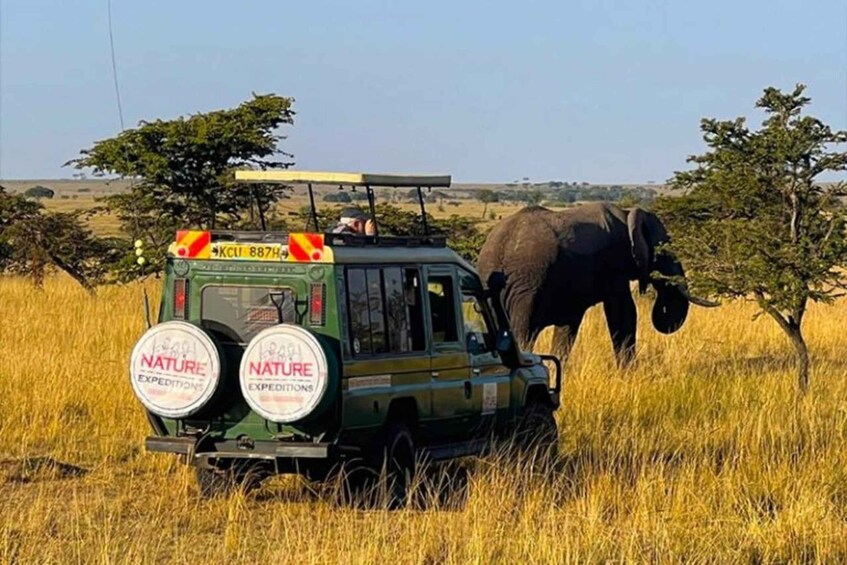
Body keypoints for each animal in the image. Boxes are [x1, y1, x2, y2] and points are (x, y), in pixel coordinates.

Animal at [477, 202, 716, 366]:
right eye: (664, 252)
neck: (628, 215)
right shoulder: (613, 262)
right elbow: (624, 313)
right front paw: (628, 373)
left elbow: (568, 326)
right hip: (526, 286)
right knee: (521, 332)